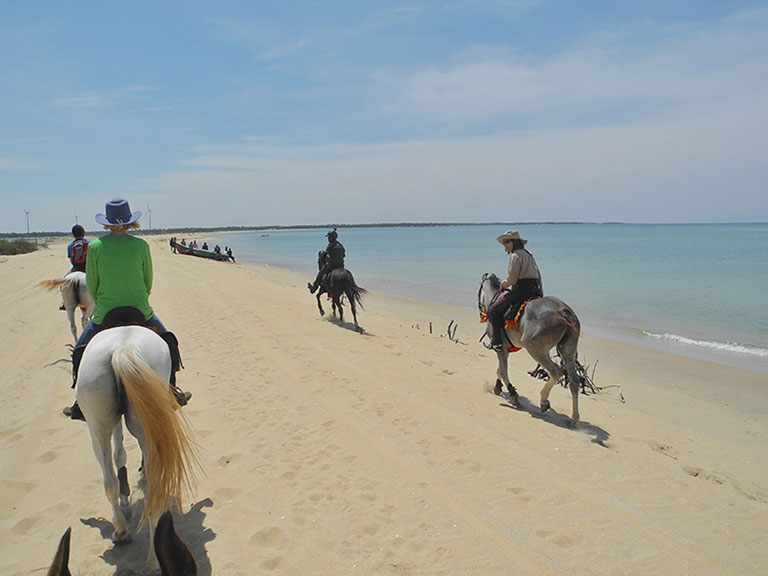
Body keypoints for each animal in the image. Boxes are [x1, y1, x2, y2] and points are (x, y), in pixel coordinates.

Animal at [76, 324, 198, 572]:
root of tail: (122, 349)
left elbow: (119, 454)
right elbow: (120, 456)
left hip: (99, 427)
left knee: (113, 482)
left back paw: (127, 537)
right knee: (140, 486)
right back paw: (149, 555)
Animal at [474, 270, 584, 424]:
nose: (481, 311)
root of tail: (563, 312)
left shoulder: (500, 348)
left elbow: (504, 371)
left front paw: (513, 394)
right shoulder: (506, 349)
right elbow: (500, 370)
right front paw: (497, 387)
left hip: (535, 349)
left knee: (556, 371)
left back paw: (544, 401)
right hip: (568, 351)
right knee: (574, 381)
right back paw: (574, 418)